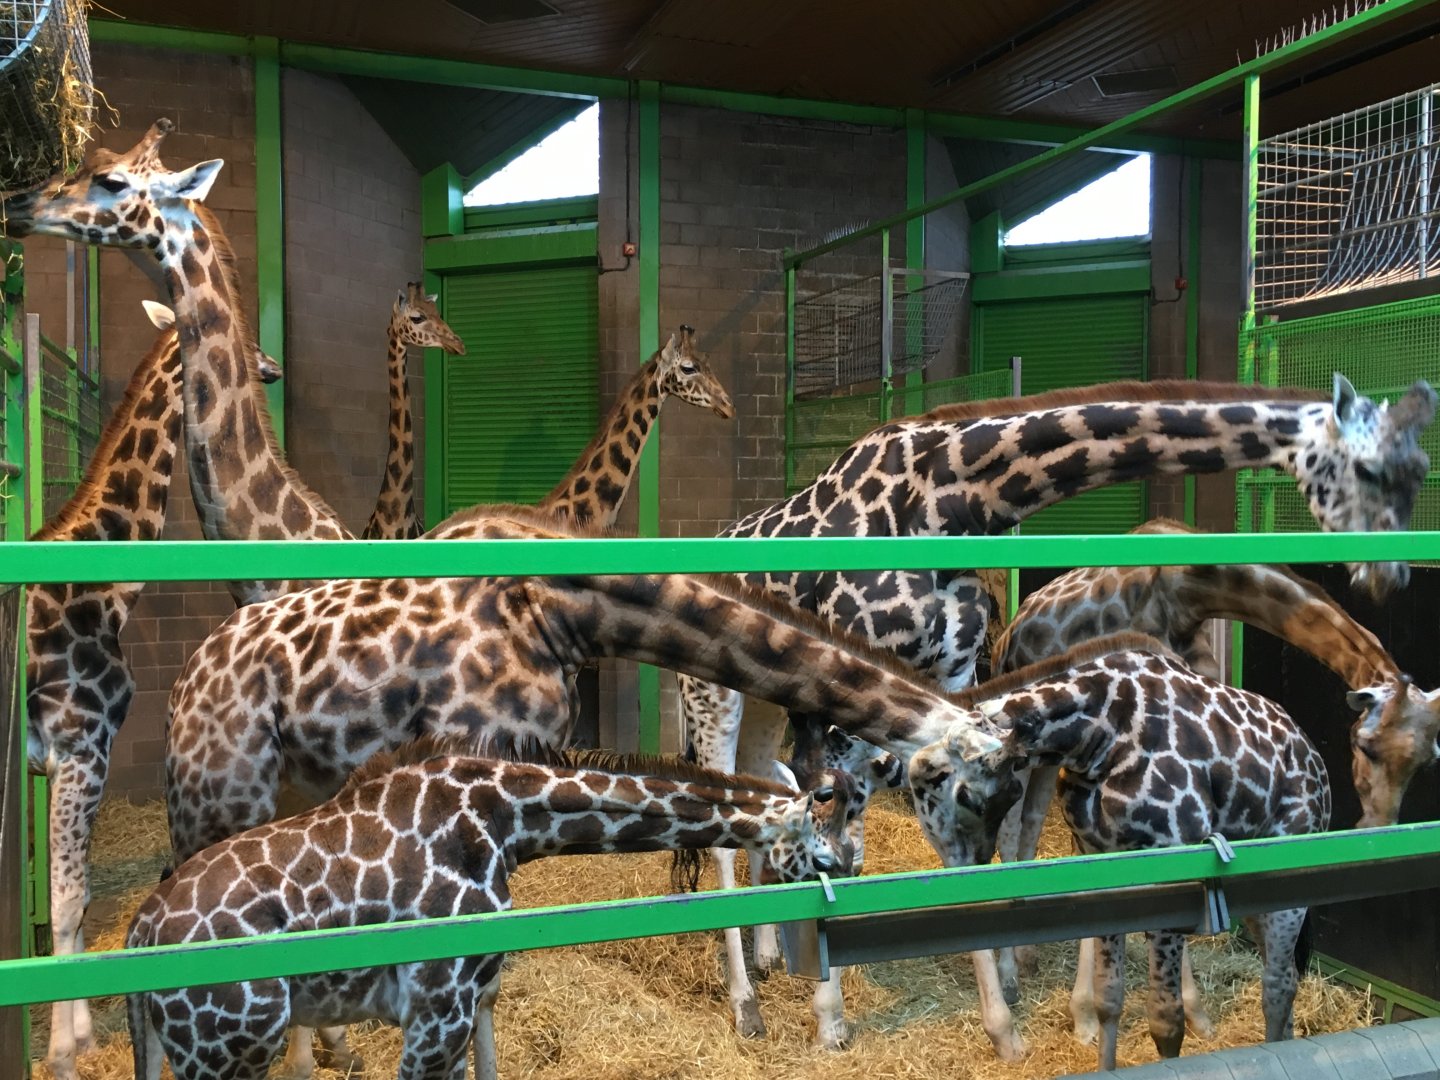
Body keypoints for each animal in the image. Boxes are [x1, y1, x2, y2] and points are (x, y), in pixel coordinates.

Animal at [127, 738, 857, 1080]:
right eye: (826, 856)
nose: (855, 876)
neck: (505, 823)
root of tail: (140, 930)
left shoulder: (475, 997)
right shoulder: (435, 1007)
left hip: (176, 1049)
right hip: (232, 1047)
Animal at [906, 633, 1331, 1071]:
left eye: (961, 794)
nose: (966, 869)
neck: (1096, 736)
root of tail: (1315, 759)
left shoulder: (1173, 862)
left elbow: (1166, 1020)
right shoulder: (1104, 860)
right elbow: (1109, 1000)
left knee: (1277, 985)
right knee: (1285, 974)